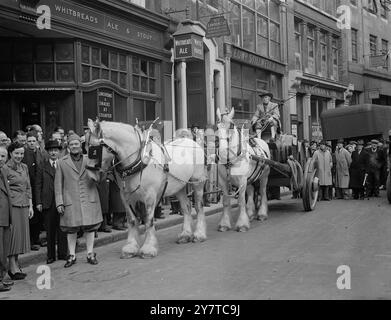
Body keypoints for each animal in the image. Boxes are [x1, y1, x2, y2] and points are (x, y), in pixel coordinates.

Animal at [86, 119, 208, 258]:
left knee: (198, 206)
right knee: (186, 207)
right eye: (85, 146)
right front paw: (131, 247)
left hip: (197, 182)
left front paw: (149, 248)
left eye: (94, 150)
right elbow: (132, 220)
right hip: (179, 187)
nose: (90, 175)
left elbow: (148, 220)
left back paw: (199, 234)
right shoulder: (126, 196)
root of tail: (190, 141)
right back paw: (185, 235)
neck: (139, 160)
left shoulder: (150, 196)